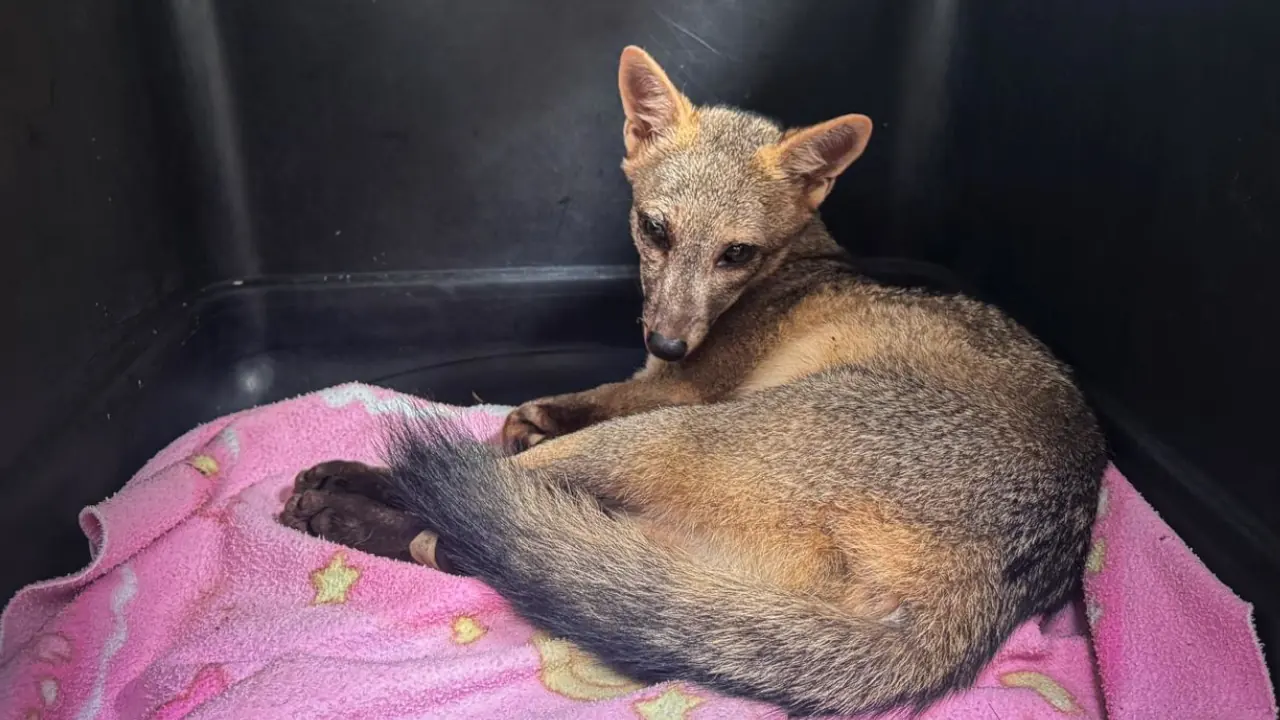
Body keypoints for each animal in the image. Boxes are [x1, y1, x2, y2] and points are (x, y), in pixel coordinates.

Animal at [279, 46, 1106, 716]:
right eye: (656, 229)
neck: (797, 267)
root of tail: (982, 601)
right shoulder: (652, 375)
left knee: (471, 505)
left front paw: (522, 420)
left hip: (668, 435)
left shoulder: (673, 391)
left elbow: (556, 415)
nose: (670, 341)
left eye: (736, 253)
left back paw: (342, 502)